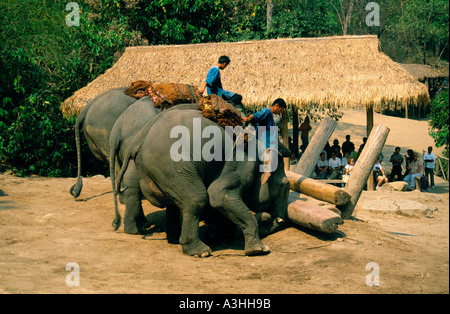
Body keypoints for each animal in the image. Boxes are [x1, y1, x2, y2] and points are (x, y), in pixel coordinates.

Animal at [113, 108, 292, 258]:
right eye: (285, 186)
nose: (271, 218)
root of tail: (139, 140)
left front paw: (218, 235)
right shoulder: (243, 160)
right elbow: (218, 194)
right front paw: (258, 250)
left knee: (174, 202)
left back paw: (175, 239)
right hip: (170, 162)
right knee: (197, 198)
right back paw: (201, 251)